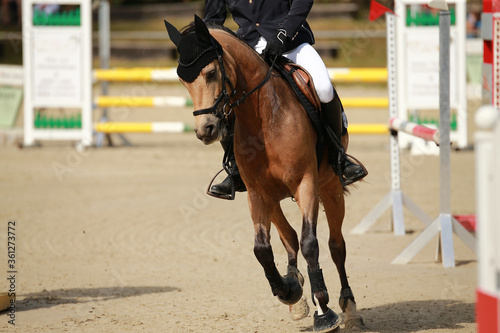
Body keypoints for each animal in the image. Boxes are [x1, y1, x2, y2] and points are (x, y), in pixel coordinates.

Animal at [166, 16, 366, 332]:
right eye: (182, 80)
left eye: (210, 73)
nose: (205, 130)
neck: (263, 117)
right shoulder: (257, 193)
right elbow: (263, 249)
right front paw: (289, 291)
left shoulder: (306, 184)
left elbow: (311, 244)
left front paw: (324, 312)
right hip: (274, 199)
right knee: (290, 238)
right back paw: (296, 292)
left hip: (331, 187)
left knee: (336, 246)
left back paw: (350, 308)